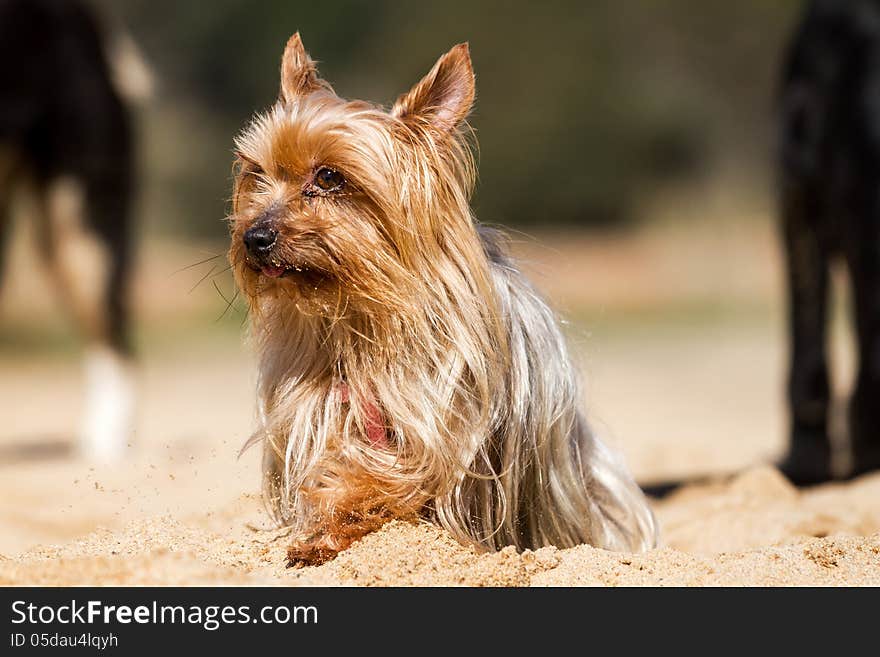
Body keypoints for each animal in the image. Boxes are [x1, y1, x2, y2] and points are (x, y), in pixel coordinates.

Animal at [230, 33, 656, 560]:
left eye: (329, 177)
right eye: (257, 173)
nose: (254, 237)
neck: (365, 311)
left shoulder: (440, 422)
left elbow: (390, 475)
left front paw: (339, 514)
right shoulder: (323, 404)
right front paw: (323, 526)